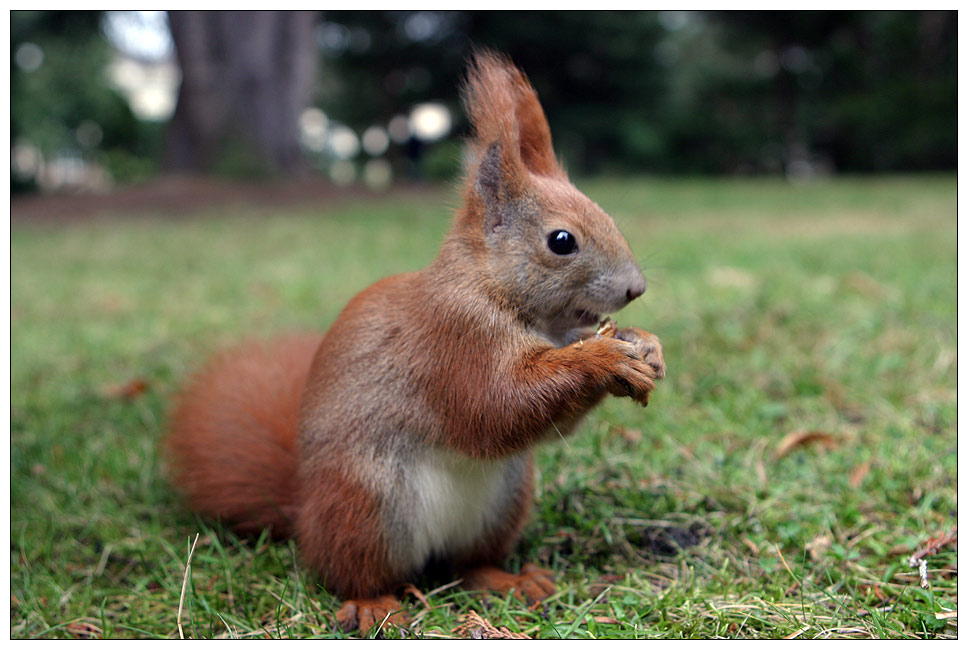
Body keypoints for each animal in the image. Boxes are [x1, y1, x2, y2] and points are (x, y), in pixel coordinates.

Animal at [166, 52, 664, 632]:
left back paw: (510, 581)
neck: (502, 297)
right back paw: (373, 606)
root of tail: (304, 511)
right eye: (562, 241)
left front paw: (647, 346)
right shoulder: (453, 339)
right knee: (352, 572)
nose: (636, 288)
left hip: (504, 502)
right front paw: (603, 359)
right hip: (365, 504)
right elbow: (497, 405)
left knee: (469, 564)